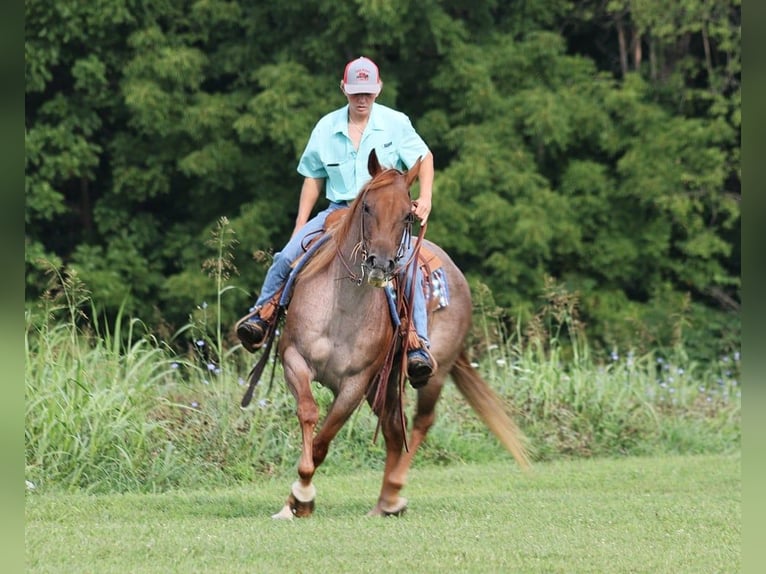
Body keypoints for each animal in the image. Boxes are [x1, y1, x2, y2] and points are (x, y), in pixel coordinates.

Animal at [260, 149, 530, 518]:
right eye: (367, 207)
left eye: (407, 214)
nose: (381, 263)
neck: (341, 309)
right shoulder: (294, 360)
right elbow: (310, 414)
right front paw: (294, 501)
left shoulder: (355, 383)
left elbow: (324, 439)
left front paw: (302, 495)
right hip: (386, 383)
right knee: (391, 425)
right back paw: (384, 502)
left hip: (432, 373)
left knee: (420, 422)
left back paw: (392, 493)